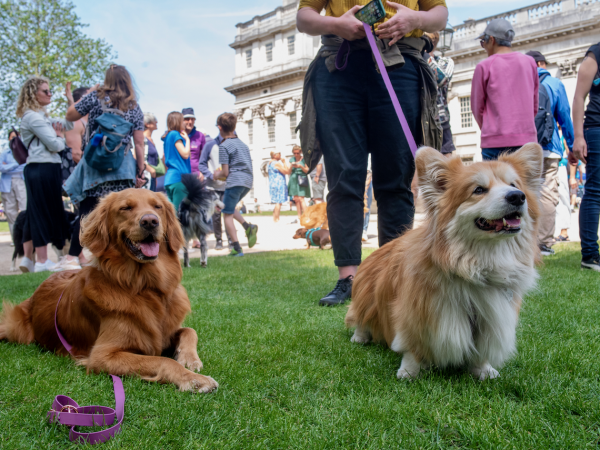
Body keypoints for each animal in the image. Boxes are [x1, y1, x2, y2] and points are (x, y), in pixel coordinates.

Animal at [0, 190, 220, 394]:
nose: (150, 221)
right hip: (15, 327)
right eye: (126, 208)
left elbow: (189, 331)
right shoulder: (102, 355)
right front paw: (194, 379)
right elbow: (162, 361)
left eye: (157, 207)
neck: (145, 286)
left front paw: (189, 360)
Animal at [342, 143, 544, 380]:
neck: (479, 263)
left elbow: (481, 349)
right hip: (366, 298)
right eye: (478, 190)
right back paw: (360, 337)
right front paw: (409, 372)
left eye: (514, 185)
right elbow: (413, 347)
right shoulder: (418, 313)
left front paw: (483, 369)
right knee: (360, 317)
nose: (517, 196)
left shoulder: (491, 318)